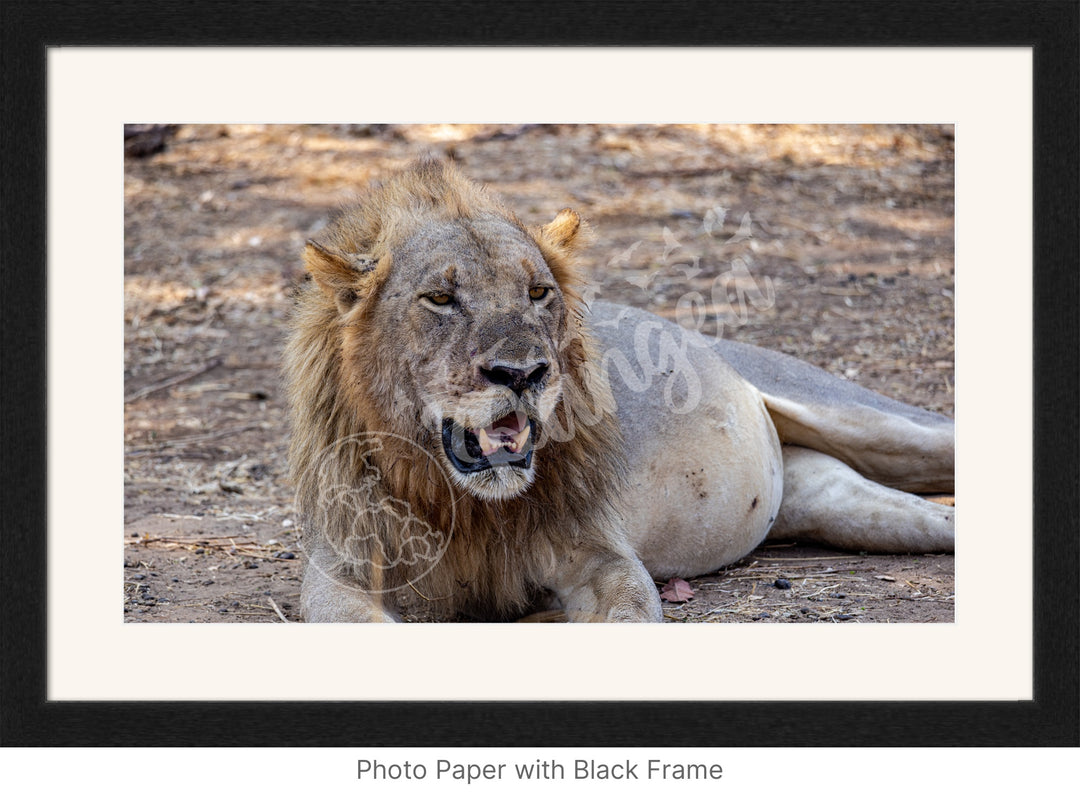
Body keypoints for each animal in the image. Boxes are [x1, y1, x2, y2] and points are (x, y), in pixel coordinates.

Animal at [285, 155, 954, 621]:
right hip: (842, 505)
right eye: (441, 299)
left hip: (869, 420)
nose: (523, 374)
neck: (466, 505)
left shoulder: (602, 557)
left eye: (537, 292)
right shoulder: (340, 571)